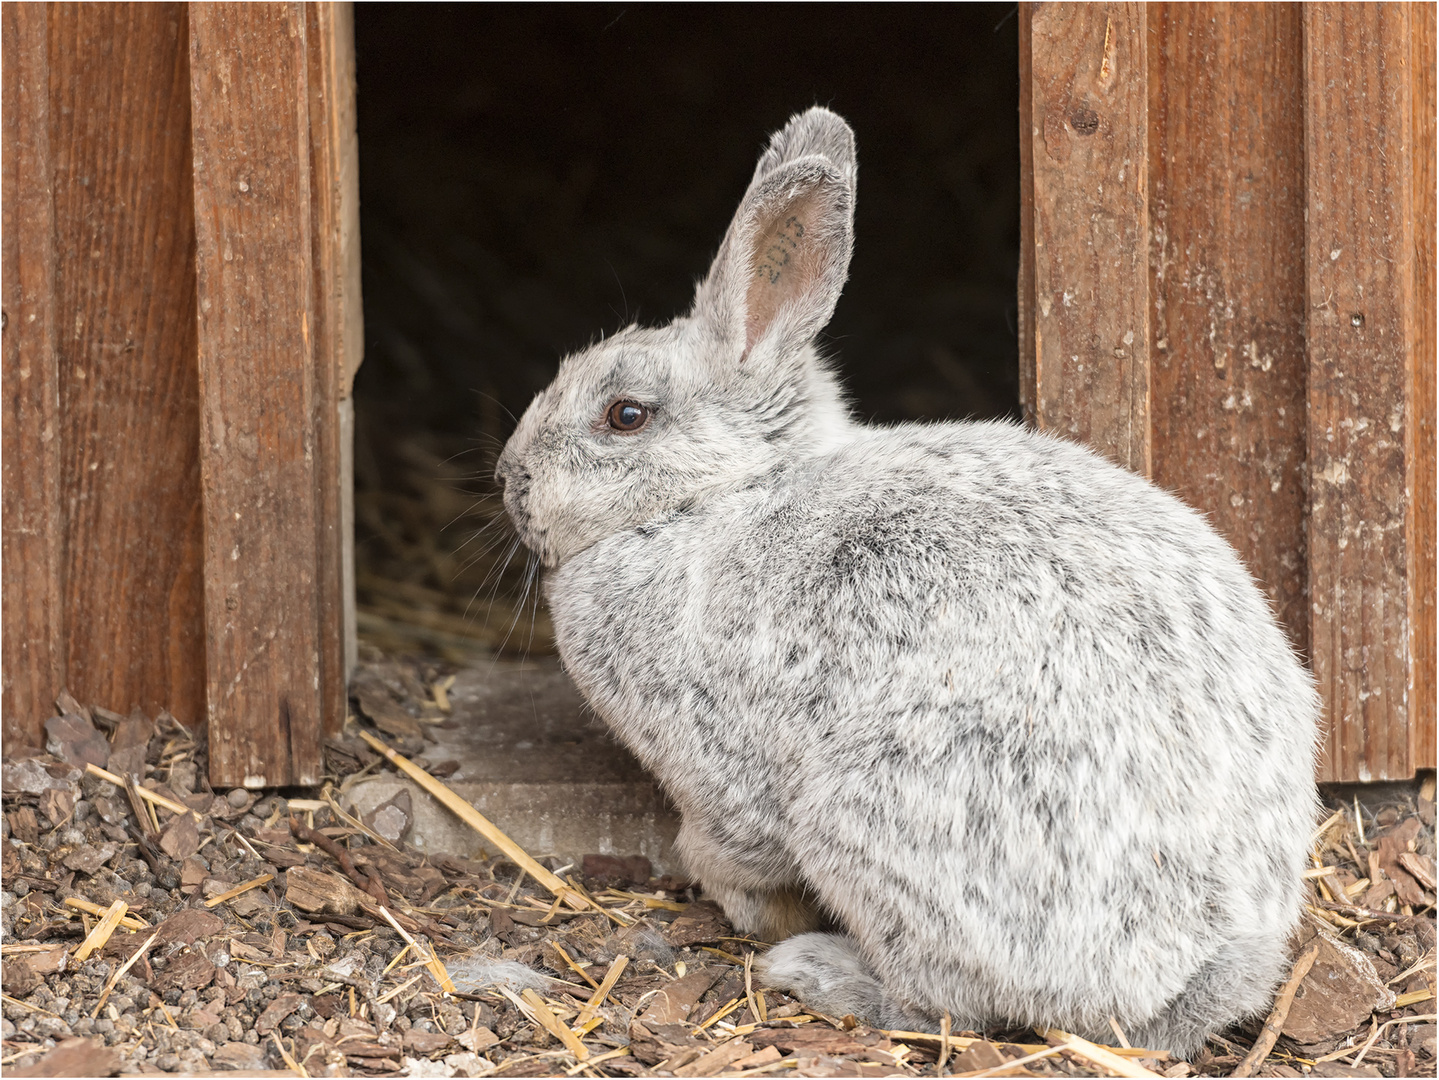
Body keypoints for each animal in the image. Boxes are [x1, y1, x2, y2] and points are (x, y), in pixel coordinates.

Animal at [500, 105, 1318, 1052]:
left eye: (624, 416)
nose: (510, 479)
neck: (721, 497)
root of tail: (1191, 971)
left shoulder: (716, 772)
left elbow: (728, 849)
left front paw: (745, 911)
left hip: (868, 823)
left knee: (944, 1004)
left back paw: (815, 971)